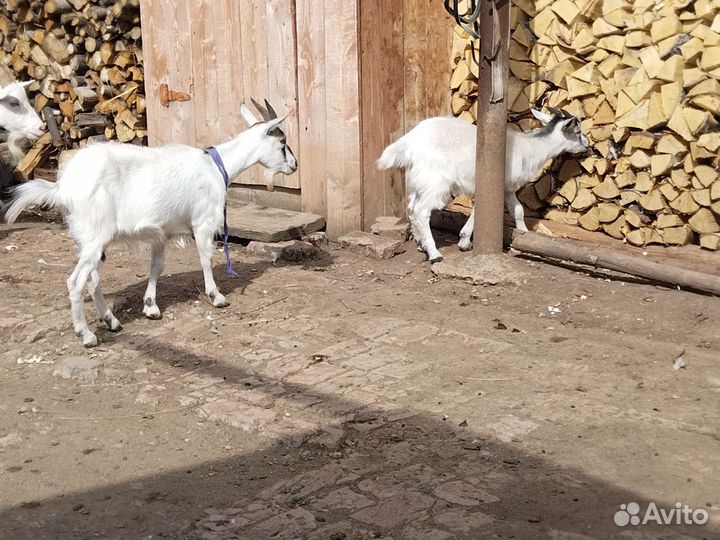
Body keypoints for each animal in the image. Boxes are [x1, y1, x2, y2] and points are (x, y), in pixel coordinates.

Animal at [3, 99, 297, 348]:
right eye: (282, 141)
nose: (294, 165)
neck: (216, 167)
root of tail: (63, 187)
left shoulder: (161, 233)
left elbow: (156, 266)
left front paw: (150, 306)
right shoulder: (202, 222)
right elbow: (205, 259)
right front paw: (216, 297)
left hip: (87, 240)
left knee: (92, 280)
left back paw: (111, 321)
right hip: (94, 235)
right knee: (76, 282)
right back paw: (86, 334)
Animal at [377, 108, 589, 262]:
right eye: (578, 132)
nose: (587, 145)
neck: (530, 149)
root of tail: (409, 142)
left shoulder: (506, 188)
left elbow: (518, 210)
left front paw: (524, 234)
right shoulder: (486, 184)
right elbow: (480, 211)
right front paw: (464, 241)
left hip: (419, 180)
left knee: (412, 208)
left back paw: (421, 244)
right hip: (435, 181)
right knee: (421, 211)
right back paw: (434, 253)